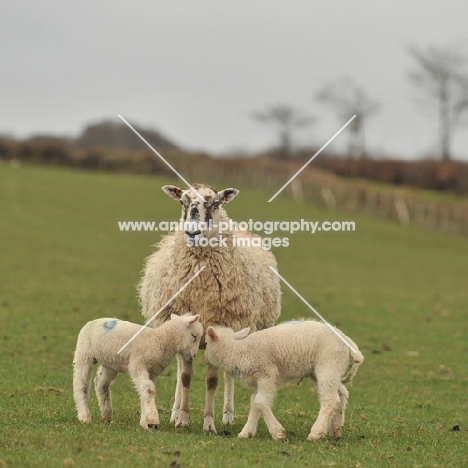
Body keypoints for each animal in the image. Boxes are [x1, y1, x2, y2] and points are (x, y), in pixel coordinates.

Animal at [137, 183, 280, 432]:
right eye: (182, 202)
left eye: (214, 203)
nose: (192, 233)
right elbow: (185, 377)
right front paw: (182, 419)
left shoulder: (220, 327)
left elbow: (212, 381)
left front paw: (209, 423)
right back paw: (175, 412)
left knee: (229, 373)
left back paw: (228, 415)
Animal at [204, 320, 362, 440]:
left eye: (206, 343)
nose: (205, 358)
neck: (237, 352)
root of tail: (348, 343)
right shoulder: (261, 381)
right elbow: (254, 401)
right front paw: (246, 432)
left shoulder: (268, 375)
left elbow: (260, 401)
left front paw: (278, 433)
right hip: (328, 369)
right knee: (341, 394)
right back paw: (336, 429)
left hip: (328, 363)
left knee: (330, 399)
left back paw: (316, 433)